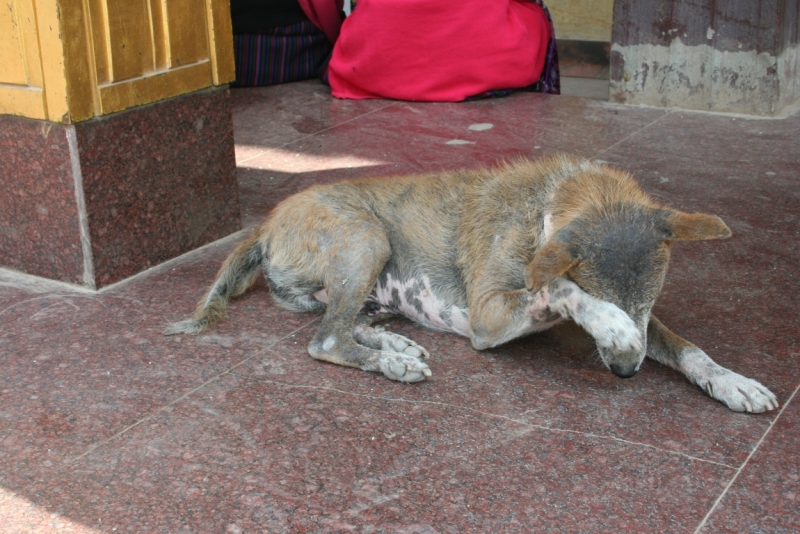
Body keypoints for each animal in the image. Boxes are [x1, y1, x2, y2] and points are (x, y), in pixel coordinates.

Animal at [166, 155, 780, 414]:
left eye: (651, 301)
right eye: (615, 305)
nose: (628, 373)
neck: (548, 210)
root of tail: (265, 223)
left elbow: (685, 346)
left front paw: (734, 382)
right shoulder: (490, 314)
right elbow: (559, 290)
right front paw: (607, 321)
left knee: (342, 321)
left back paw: (393, 338)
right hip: (365, 237)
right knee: (327, 340)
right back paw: (392, 362)